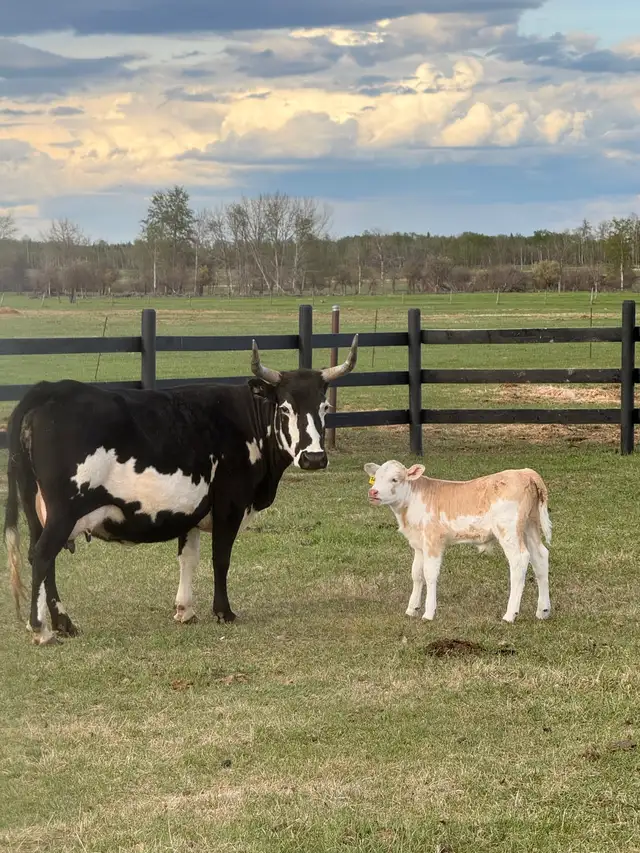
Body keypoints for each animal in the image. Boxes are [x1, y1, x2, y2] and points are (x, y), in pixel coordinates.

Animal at [4, 336, 358, 645]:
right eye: (285, 409)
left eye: (324, 407)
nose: (314, 458)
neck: (246, 421)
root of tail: (51, 389)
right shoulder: (229, 504)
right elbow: (220, 559)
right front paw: (224, 612)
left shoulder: (191, 510)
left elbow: (188, 558)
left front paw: (185, 610)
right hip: (64, 510)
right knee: (42, 554)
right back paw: (42, 629)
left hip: (37, 508)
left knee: (41, 556)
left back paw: (63, 623)